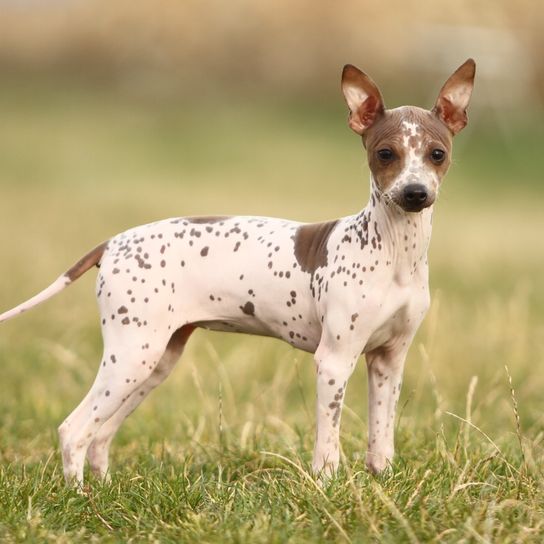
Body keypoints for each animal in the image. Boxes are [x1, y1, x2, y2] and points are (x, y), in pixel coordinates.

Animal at [0, 59, 476, 484]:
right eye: (385, 154)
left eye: (437, 154)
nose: (415, 193)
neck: (394, 252)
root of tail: (112, 243)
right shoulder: (334, 361)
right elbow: (328, 445)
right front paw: (326, 487)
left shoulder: (388, 361)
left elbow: (382, 438)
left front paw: (381, 480)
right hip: (132, 355)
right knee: (74, 430)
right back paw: (80, 497)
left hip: (154, 361)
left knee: (100, 434)